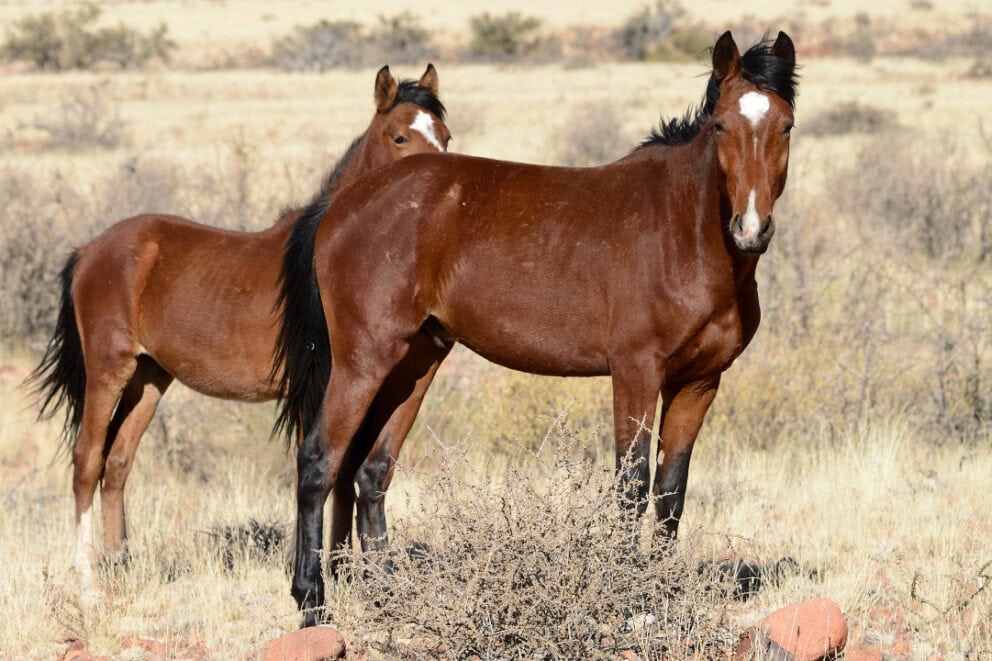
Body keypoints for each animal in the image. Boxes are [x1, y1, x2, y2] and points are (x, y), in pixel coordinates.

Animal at [27, 64, 451, 608]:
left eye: (445, 136)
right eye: (399, 136)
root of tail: (89, 250)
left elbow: (342, 472)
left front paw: (340, 571)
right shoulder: (322, 387)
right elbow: (327, 468)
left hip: (149, 378)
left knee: (117, 464)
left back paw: (122, 564)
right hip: (108, 370)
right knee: (86, 461)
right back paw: (89, 584)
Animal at [275, 31, 798, 626]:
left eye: (786, 125)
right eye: (721, 126)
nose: (751, 228)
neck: (683, 232)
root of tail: (341, 204)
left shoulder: (699, 382)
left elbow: (671, 491)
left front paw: (661, 597)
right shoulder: (636, 372)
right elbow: (632, 485)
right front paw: (627, 598)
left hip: (415, 362)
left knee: (372, 469)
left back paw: (390, 596)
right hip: (364, 360)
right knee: (320, 461)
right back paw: (312, 601)